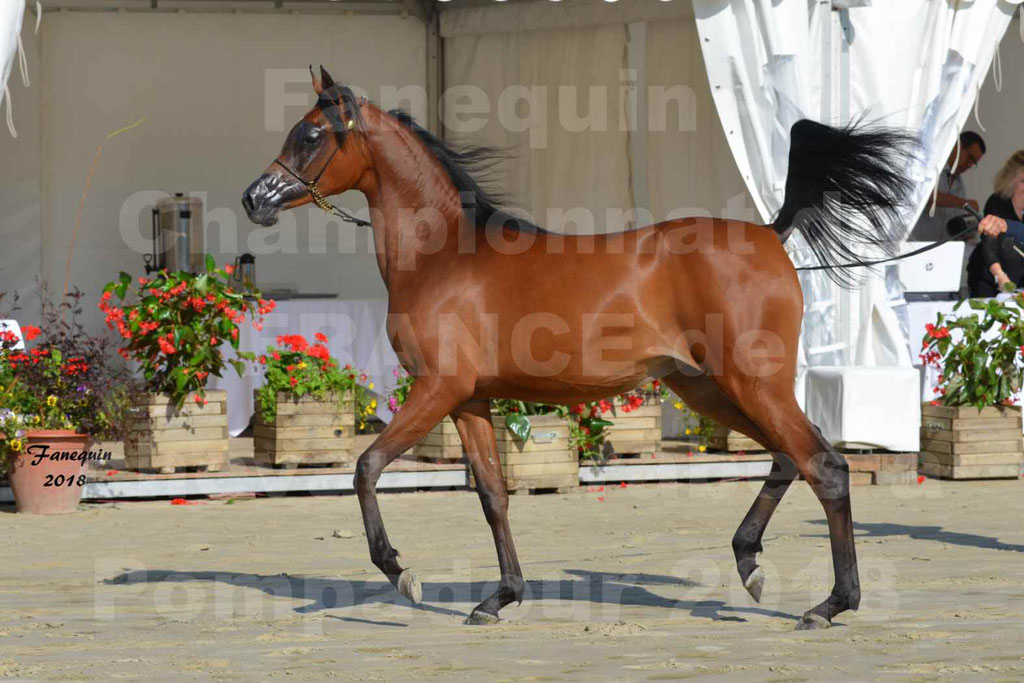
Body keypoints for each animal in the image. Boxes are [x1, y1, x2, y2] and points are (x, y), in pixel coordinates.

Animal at [243, 66, 917, 626]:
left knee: (824, 466)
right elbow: (492, 495)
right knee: (787, 457)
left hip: (752, 382)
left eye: (310, 135)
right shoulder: (469, 402)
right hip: (707, 388)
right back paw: (749, 564)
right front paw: (500, 597)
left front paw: (400, 572)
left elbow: (366, 467)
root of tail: (772, 236)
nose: (256, 199)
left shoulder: (437, 389)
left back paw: (830, 604)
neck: (444, 256)